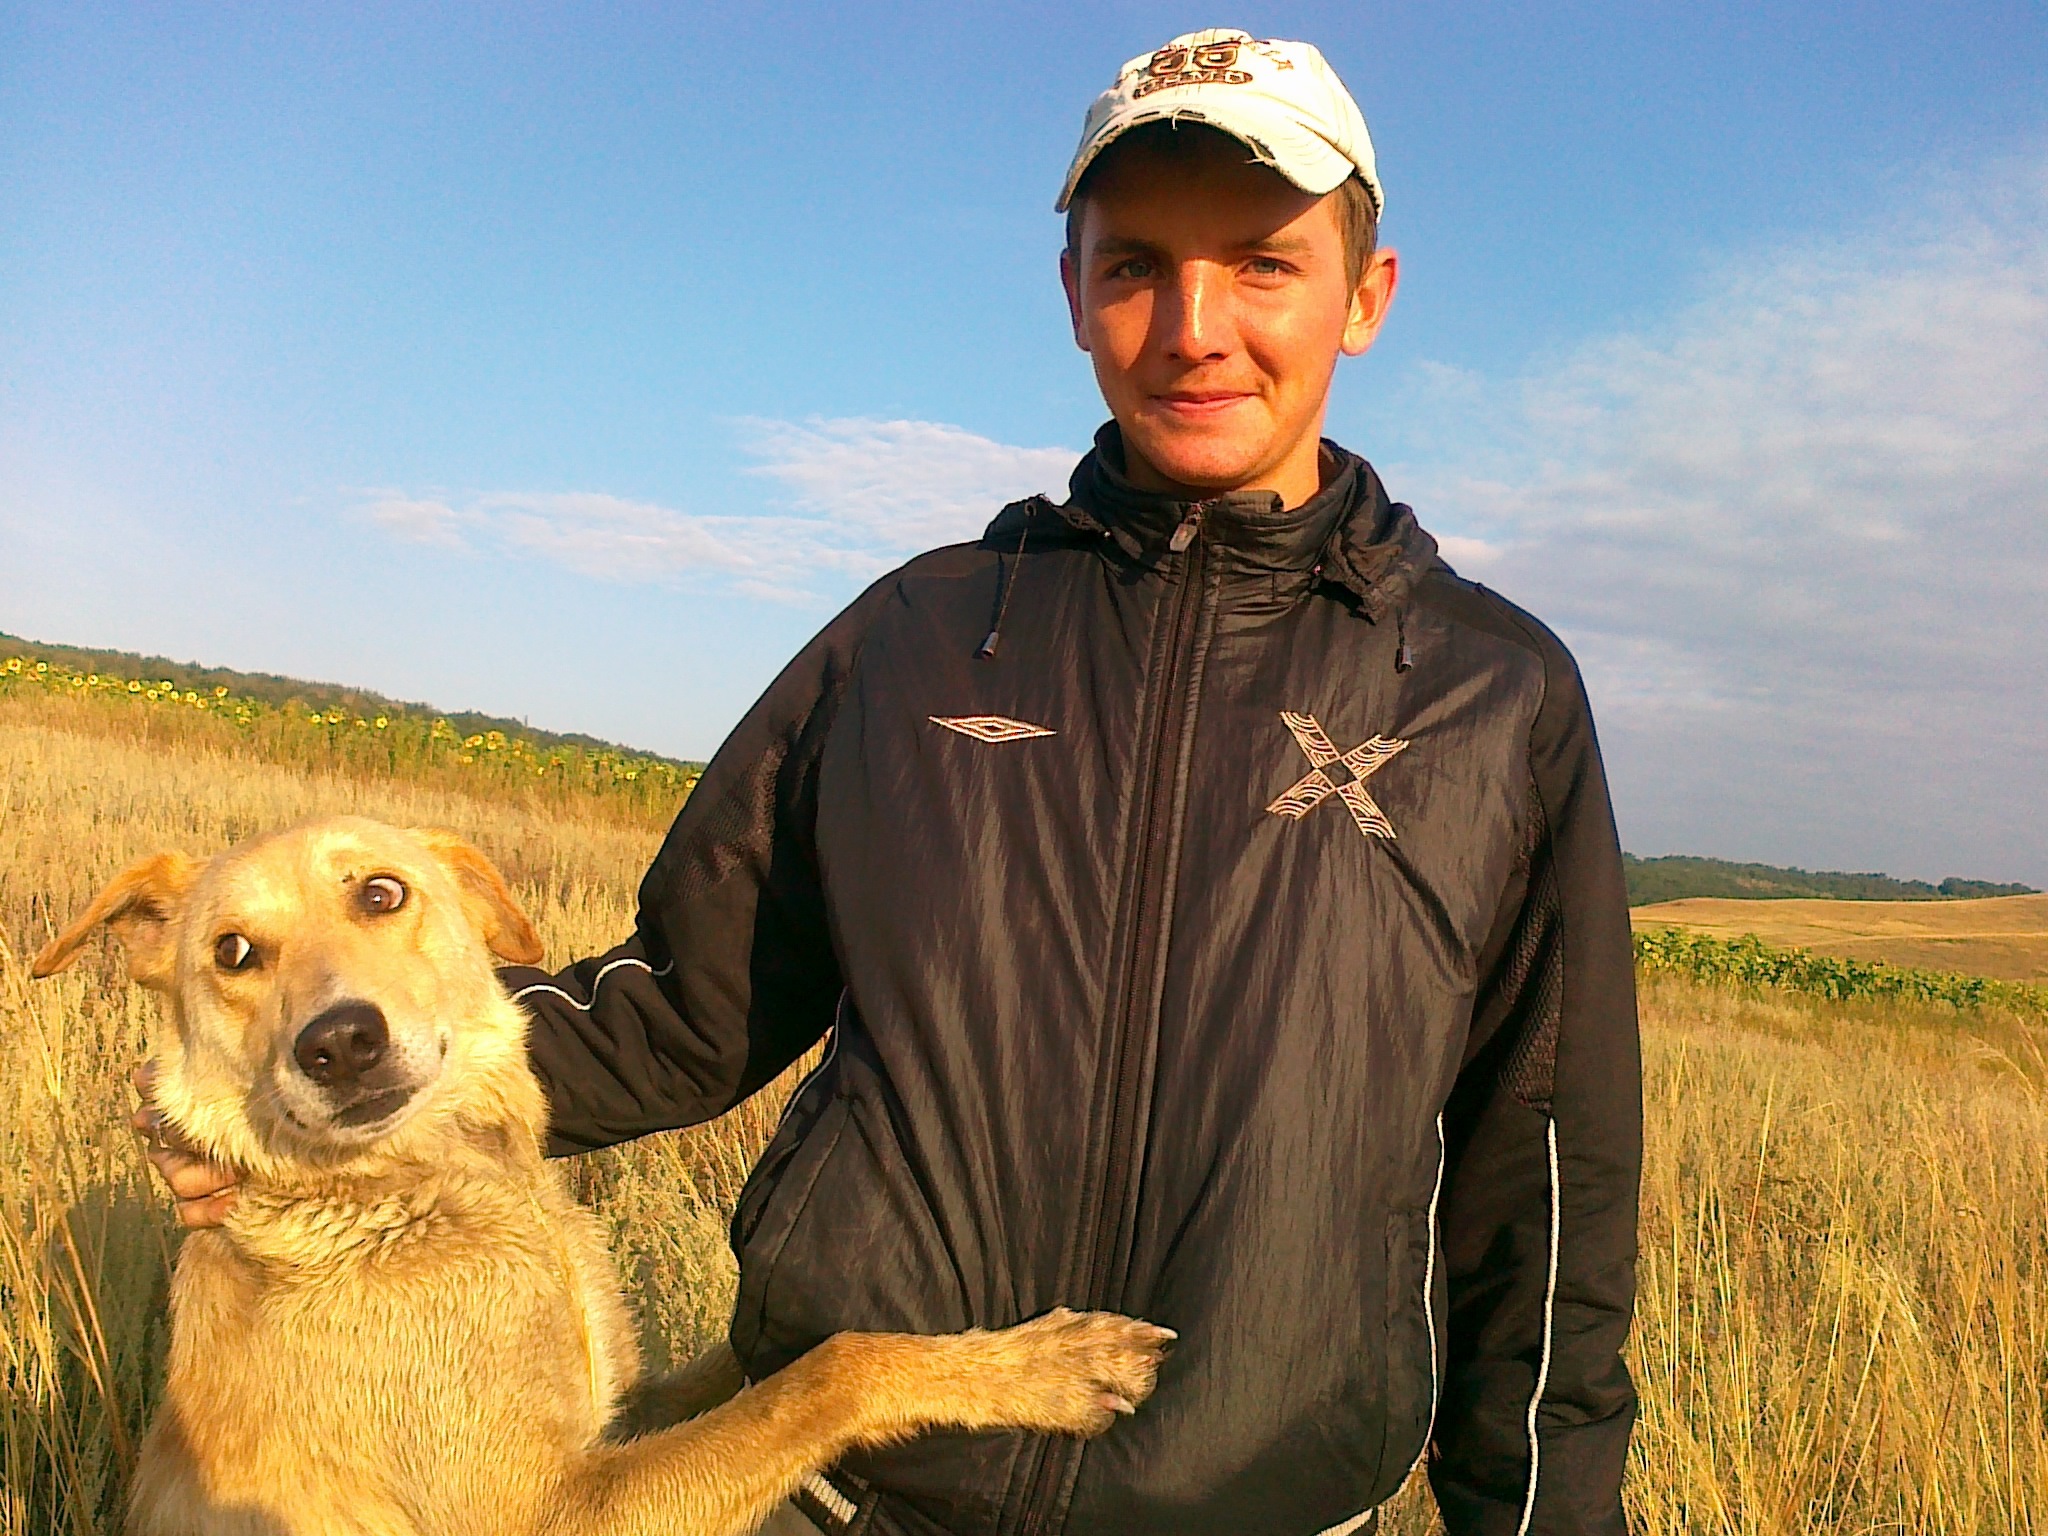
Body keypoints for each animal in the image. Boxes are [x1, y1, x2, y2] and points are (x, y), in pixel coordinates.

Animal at [34, 817, 1170, 1536]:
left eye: (381, 892)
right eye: (232, 953)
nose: (339, 1044)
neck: (429, 1193)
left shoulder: (619, 1423)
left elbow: (766, 1366)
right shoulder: (554, 1514)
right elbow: (831, 1371)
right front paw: (1053, 1365)